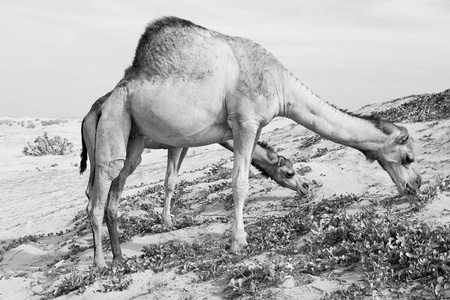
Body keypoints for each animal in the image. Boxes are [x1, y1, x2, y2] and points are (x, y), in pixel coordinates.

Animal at [80, 91, 310, 230]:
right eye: (289, 172)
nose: (306, 187)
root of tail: (87, 117)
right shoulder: (175, 144)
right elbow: (169, 182)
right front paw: (167, 223)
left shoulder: (185, 146)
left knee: (91, 190)